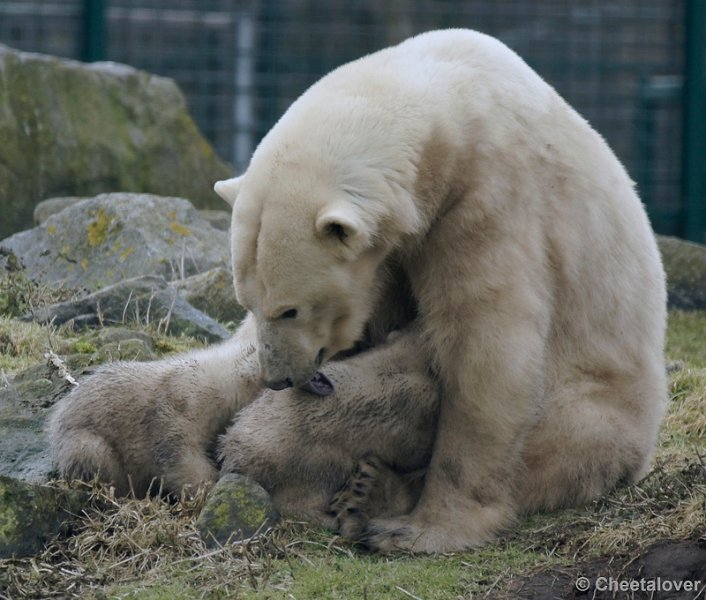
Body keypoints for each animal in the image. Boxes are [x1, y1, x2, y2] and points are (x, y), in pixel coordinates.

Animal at [212, 30, 664, 552]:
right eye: (247, 303)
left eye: (290, 310)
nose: (278, 378)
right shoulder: (396, 245)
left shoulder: (490, 198)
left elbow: (488, 354)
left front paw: (426, 529)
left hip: (601, 399)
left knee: (559, 443)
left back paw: (374, 497)